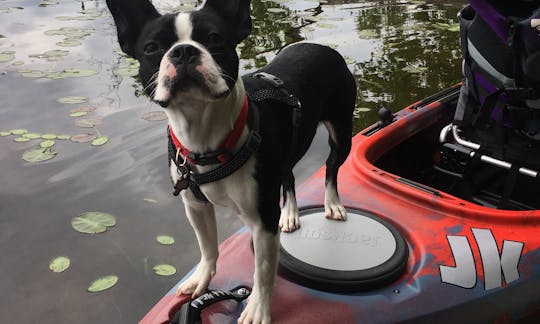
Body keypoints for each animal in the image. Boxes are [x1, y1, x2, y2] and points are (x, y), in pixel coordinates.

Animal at [106, 0, 358, 322]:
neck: (204, 139)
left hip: (341, 133)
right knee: (288, 174)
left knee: (331, 168)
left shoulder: (263, 221)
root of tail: (320, 46)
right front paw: (202, 279)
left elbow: (263, 270)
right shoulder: (196, 206)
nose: (183, 51)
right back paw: (290, 214)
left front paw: (258, 308)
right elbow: (208, 247)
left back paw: (333, 204)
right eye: (151, 48)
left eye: (214, 38)